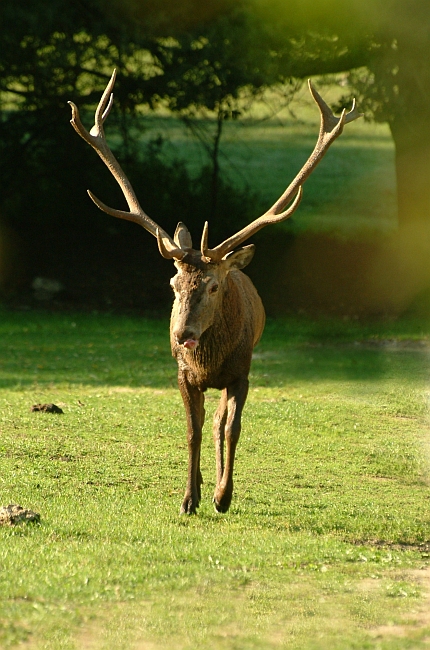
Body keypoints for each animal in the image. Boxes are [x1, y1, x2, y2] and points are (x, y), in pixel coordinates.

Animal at [68, 71, 362, 512]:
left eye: (214, 284)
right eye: (173, 284)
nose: (183, 334)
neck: (207, 362)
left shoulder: (242, 372)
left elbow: (232, 428)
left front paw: (223, 496)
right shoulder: (183, 374)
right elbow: (192, 430)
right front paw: (188, 497)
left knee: (222, 420)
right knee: (208, 420)